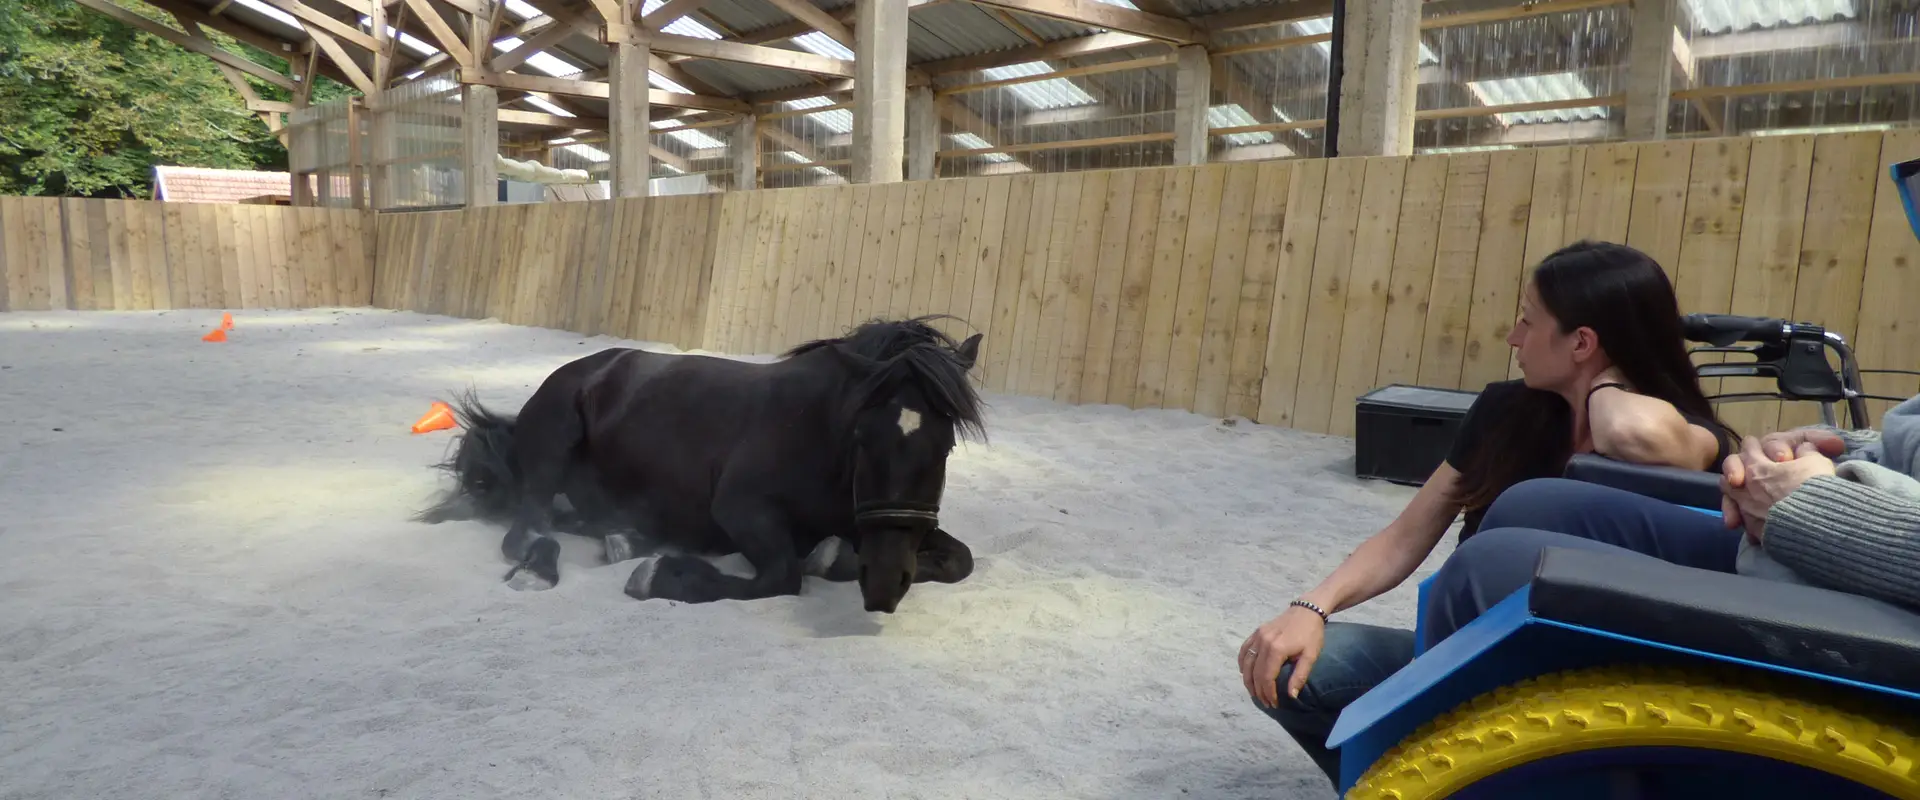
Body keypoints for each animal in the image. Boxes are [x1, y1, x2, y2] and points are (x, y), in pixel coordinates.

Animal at [414, 316, 987, 614]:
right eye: (863, 437)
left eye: (945, 446)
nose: (886, 582)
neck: (820, 440)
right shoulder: (740, 508)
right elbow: (781, 576)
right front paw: (664, 578)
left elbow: (960, 559)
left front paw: (836, 557)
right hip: (555, 443)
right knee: (528, 528)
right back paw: (546, 567)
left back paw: (627, 539)